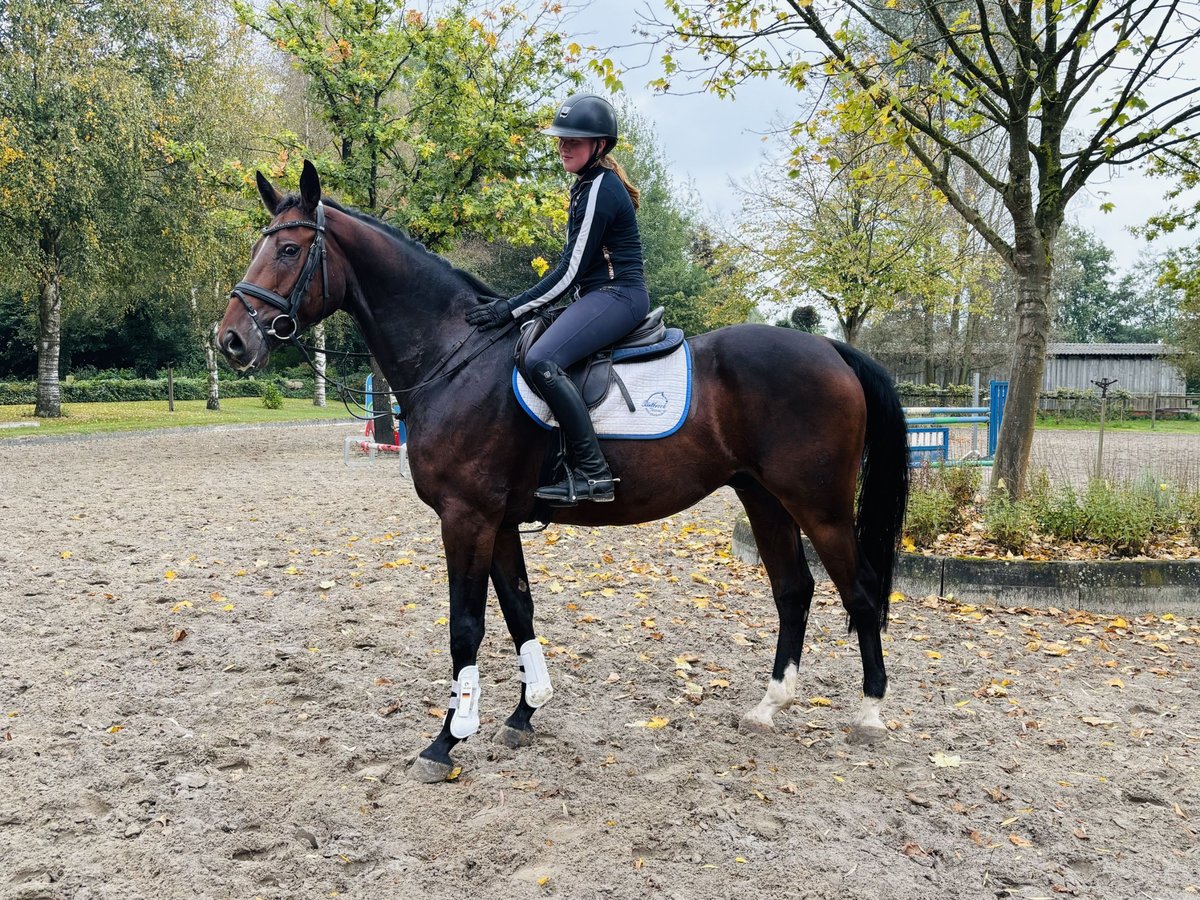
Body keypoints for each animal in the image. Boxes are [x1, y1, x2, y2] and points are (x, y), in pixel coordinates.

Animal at [218, 165, 907, 787]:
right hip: (763, 498)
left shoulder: (466, 518)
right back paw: (769, 706)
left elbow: (466, 627)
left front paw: (446, 740)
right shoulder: (497, 521)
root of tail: (829, 349)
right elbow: (520, 611)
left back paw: (871, 713)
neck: (455, 357)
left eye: (288, 249)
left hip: (818, 504)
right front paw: (525, 714)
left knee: (861, 591)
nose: (230, 341)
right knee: (794, 590)